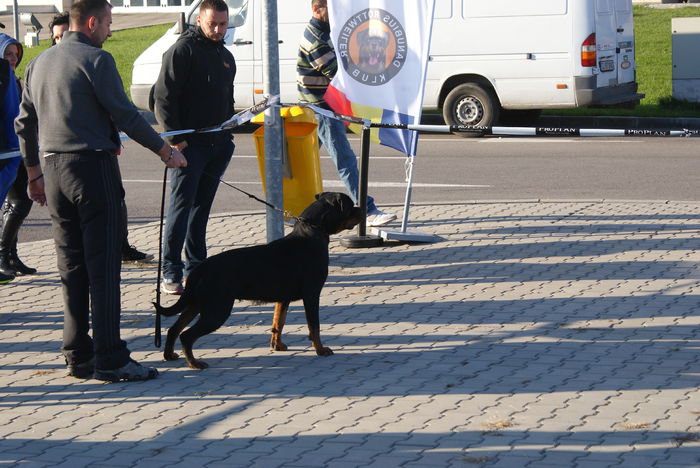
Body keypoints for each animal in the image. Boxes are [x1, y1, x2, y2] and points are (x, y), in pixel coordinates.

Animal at [152, 191, 360, 370]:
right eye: (350, 206)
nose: (361, 207)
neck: (311, 233)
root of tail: (201, 267)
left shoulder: (282, 298)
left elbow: (278, 322)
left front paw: (277, 345)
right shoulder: (312, 295)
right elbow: (314, 326)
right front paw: (320, 349)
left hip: (196, 303)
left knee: (174, 328)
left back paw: (170, 355)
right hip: (217, 310)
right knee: (186, 335)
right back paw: (194, 363)